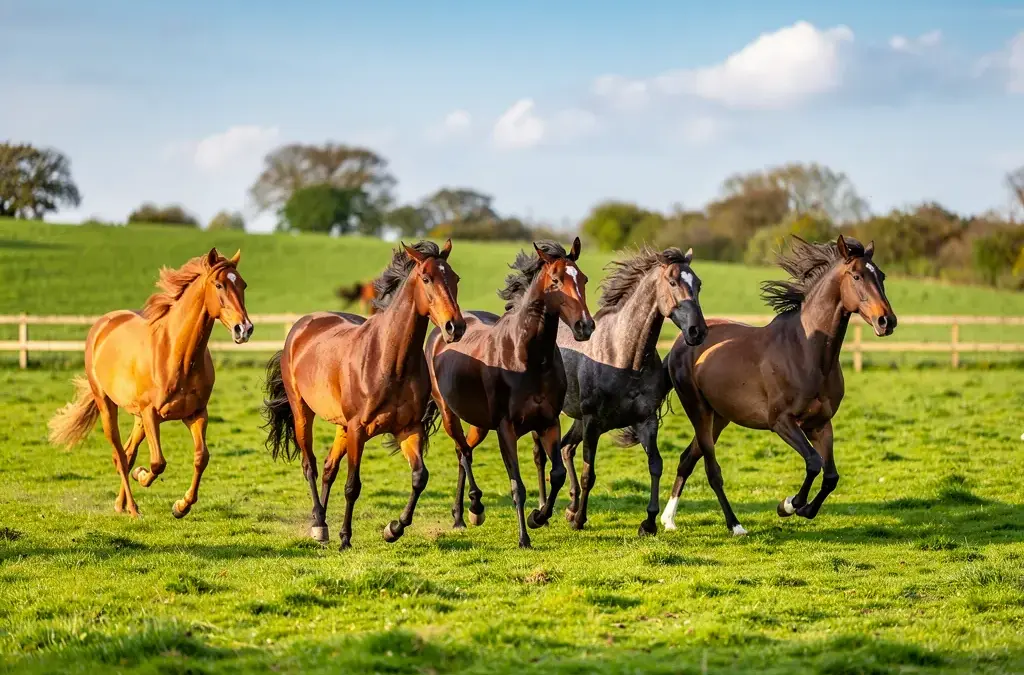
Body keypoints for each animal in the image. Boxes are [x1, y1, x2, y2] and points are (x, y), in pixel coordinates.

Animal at [48, 248, 253, 518]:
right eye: (218, 284)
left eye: (243, 284)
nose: (244, 329)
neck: (177, 354)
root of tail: (103, 324)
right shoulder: (151, 413)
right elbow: (158, 463)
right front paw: (142, 476)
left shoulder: (196, 413)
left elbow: (201, 457)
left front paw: (181, 506)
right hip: (108, 406)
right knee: (120, 455)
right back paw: (133, 508)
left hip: (138, 418)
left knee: (128, 452)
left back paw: (121, 504)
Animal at [262, 240, 465, 549]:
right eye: (427, 278)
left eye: (455, 278)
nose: (455, 327)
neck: (389, 361)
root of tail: (300, 327)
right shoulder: (359, 429)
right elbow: (352, 486)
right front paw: (346, 538)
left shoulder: (409, 429)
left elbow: (420, 477)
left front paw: (393, 528)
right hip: (302, 413)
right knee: (310, 464)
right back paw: (319, 524)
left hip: (342, 426)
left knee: (328, 467)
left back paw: (321, 524)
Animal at [425, 237, 595, 548]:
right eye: (555, 280)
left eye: (583, 279)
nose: (585, 326)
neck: (527, 357)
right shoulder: (506, 428)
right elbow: (517, 486)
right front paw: (524, 537)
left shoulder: (548, 422)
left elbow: (557, 474)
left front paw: (538, 517)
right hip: (448, 413)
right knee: (462, 452)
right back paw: (473, 509)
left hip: (480, 424)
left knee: (464, 452)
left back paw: (461, 516)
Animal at [547, 246, 709, 536]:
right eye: (672, 282)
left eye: (698, 284)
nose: (697, 331)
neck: (624, 357)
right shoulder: (593, 423)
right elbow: (589, 473)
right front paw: (580, 520)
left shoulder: (646, 420)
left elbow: (656, 465)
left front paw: (649, 522)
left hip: (577, 419)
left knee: (566, 449)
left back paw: (570, 507)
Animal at [660, 235, 897, 533]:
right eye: (856, 275)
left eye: (882, 275)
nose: (887, 321)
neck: (805, 351)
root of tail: (683, 341)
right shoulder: (781, 422)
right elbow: (814, 462)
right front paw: (788, 505)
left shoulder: (820, 424)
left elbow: (831, 475)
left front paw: (805, 509)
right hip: (698, 411)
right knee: (711, 471)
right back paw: (734, 525)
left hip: (719, 417)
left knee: (687, 459)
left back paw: (668, 520)